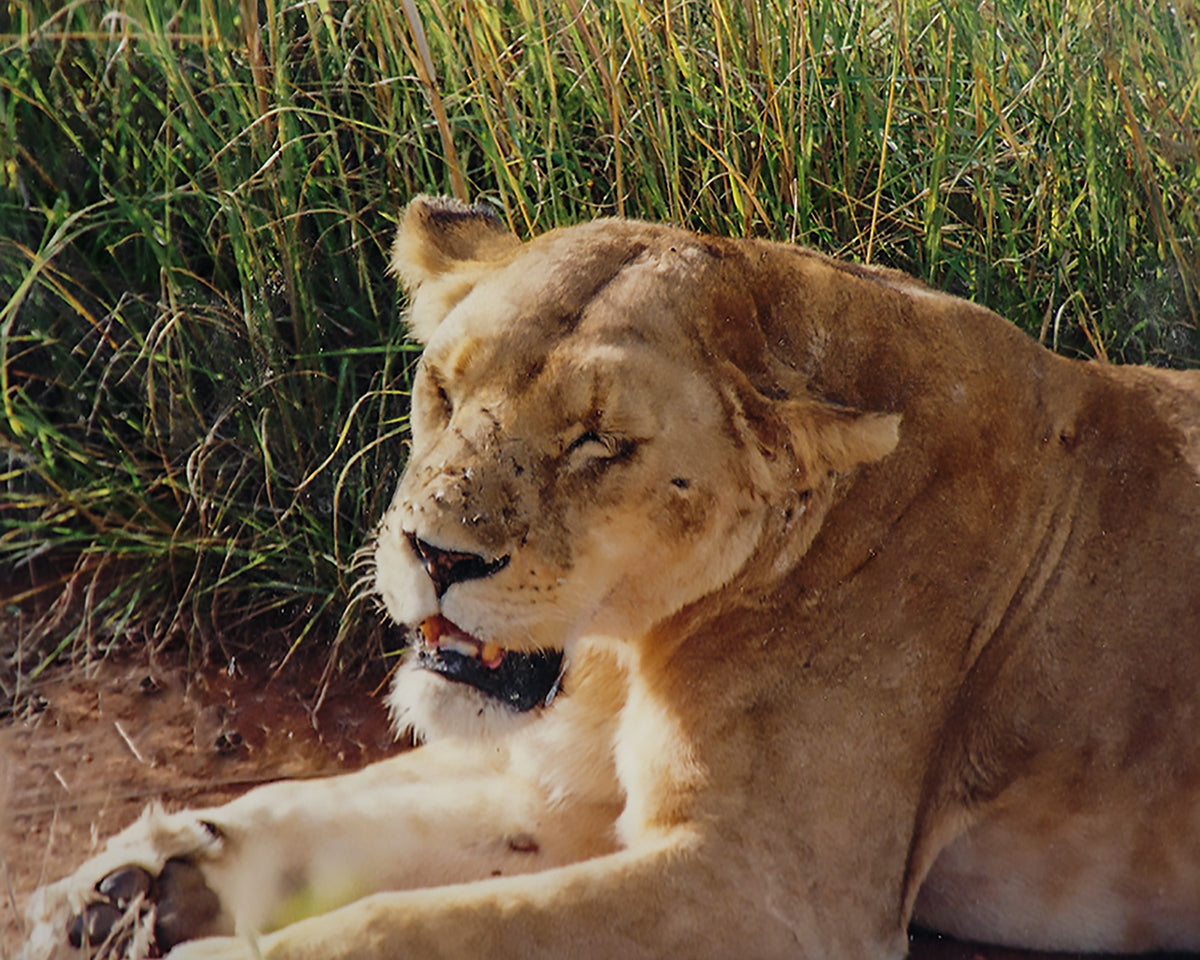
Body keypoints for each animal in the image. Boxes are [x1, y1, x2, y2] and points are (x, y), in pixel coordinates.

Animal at [21, 196, 1200, 960]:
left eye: (600, 442)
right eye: (443, 390)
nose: (435, 555)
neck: (625, 645)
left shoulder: (776, 890)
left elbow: (411, 928)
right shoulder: (563, 785)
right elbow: (331, 812)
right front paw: (129, 886)